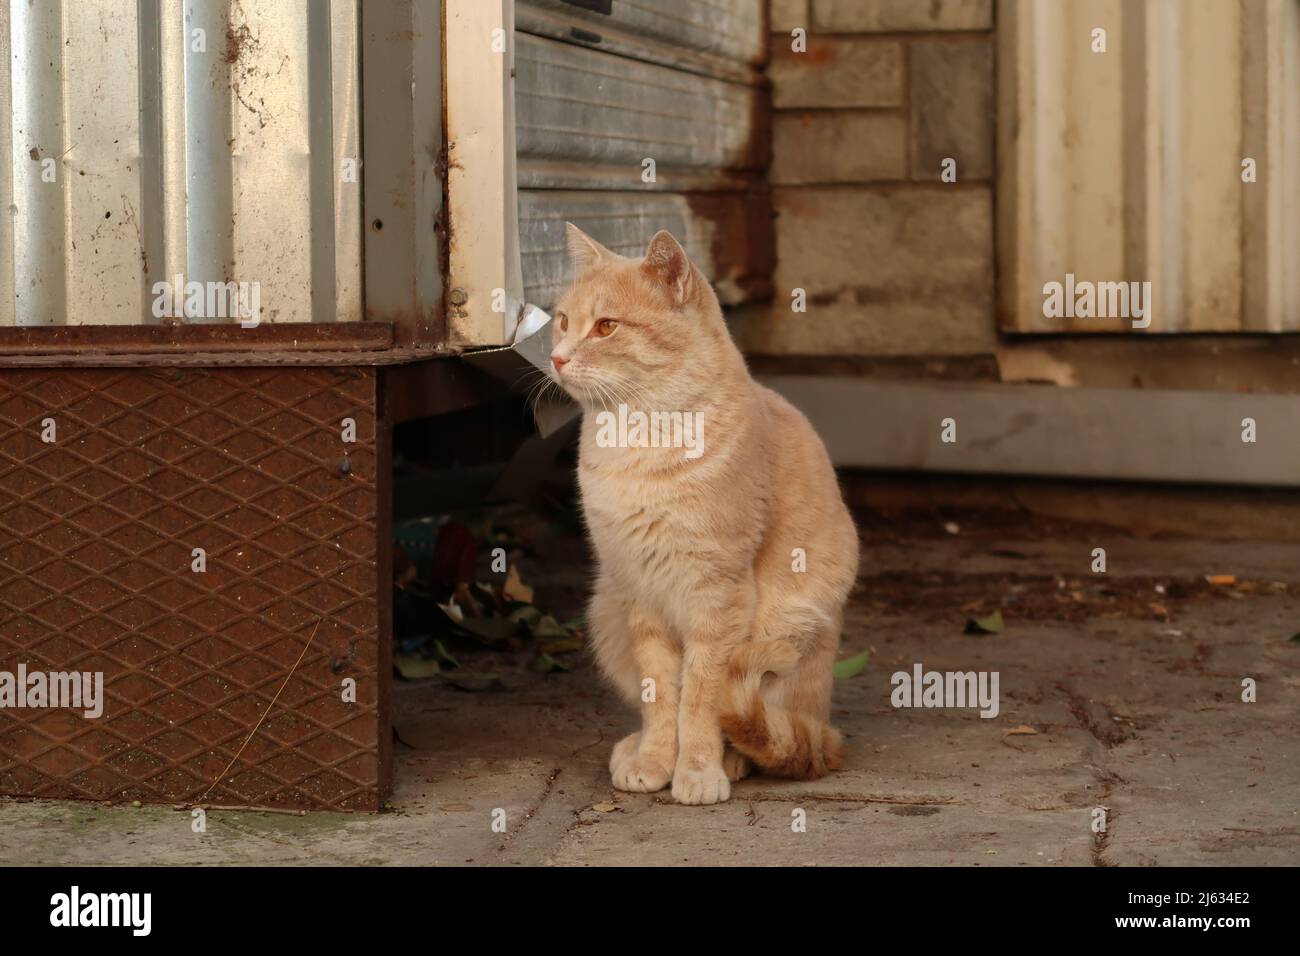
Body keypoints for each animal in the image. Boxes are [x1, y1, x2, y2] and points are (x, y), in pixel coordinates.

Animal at [551, 226, 863, 806]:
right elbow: (659, 695)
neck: (637, 444)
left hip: (787, 625)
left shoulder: (717, 596)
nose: (557, 357)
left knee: (768, 729)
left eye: (605, 327)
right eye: (562, 320)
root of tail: (824, 727)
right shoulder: (640, 592)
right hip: (606, 609)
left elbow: (700, 696)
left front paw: (696, 769)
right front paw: (655, 760)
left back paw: (736, 759)